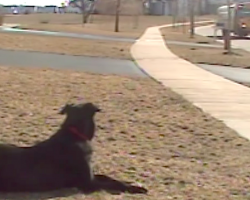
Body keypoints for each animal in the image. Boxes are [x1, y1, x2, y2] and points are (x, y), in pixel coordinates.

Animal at [0, 102, 147, 195]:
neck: (75, 134)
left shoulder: (91, 175)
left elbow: (109, 178)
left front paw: (133, 183)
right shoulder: (88, 183)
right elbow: (114, 184)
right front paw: (135, 188)